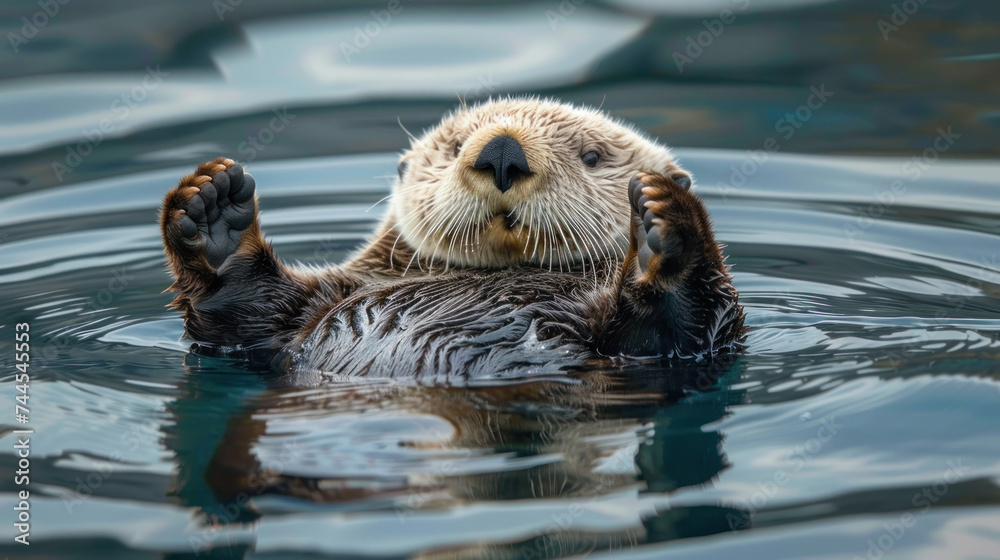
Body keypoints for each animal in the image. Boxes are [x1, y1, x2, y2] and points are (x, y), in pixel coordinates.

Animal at [160, 98, 743, 380]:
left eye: (592, 156)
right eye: (457, 146)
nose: (503, 151)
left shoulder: (684, 350)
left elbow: (695, 332)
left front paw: (659, 214)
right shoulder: (325, 298)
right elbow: (245, 310)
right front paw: (212, 216)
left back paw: (664, 234)